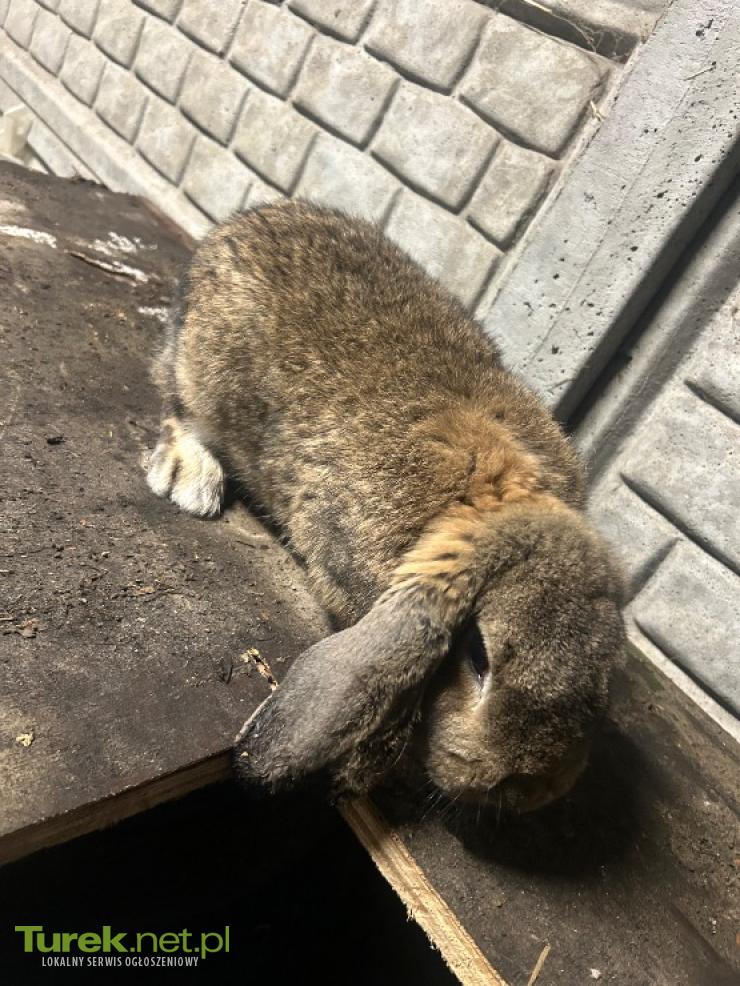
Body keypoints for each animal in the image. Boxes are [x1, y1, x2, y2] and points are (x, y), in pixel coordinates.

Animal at [146, 200, 625, 813]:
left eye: (606, 681)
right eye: (479, 656)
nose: (527, 788)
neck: (488, 498)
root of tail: (240, 223)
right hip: (202, 372)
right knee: (176, 404)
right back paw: (191, 479)